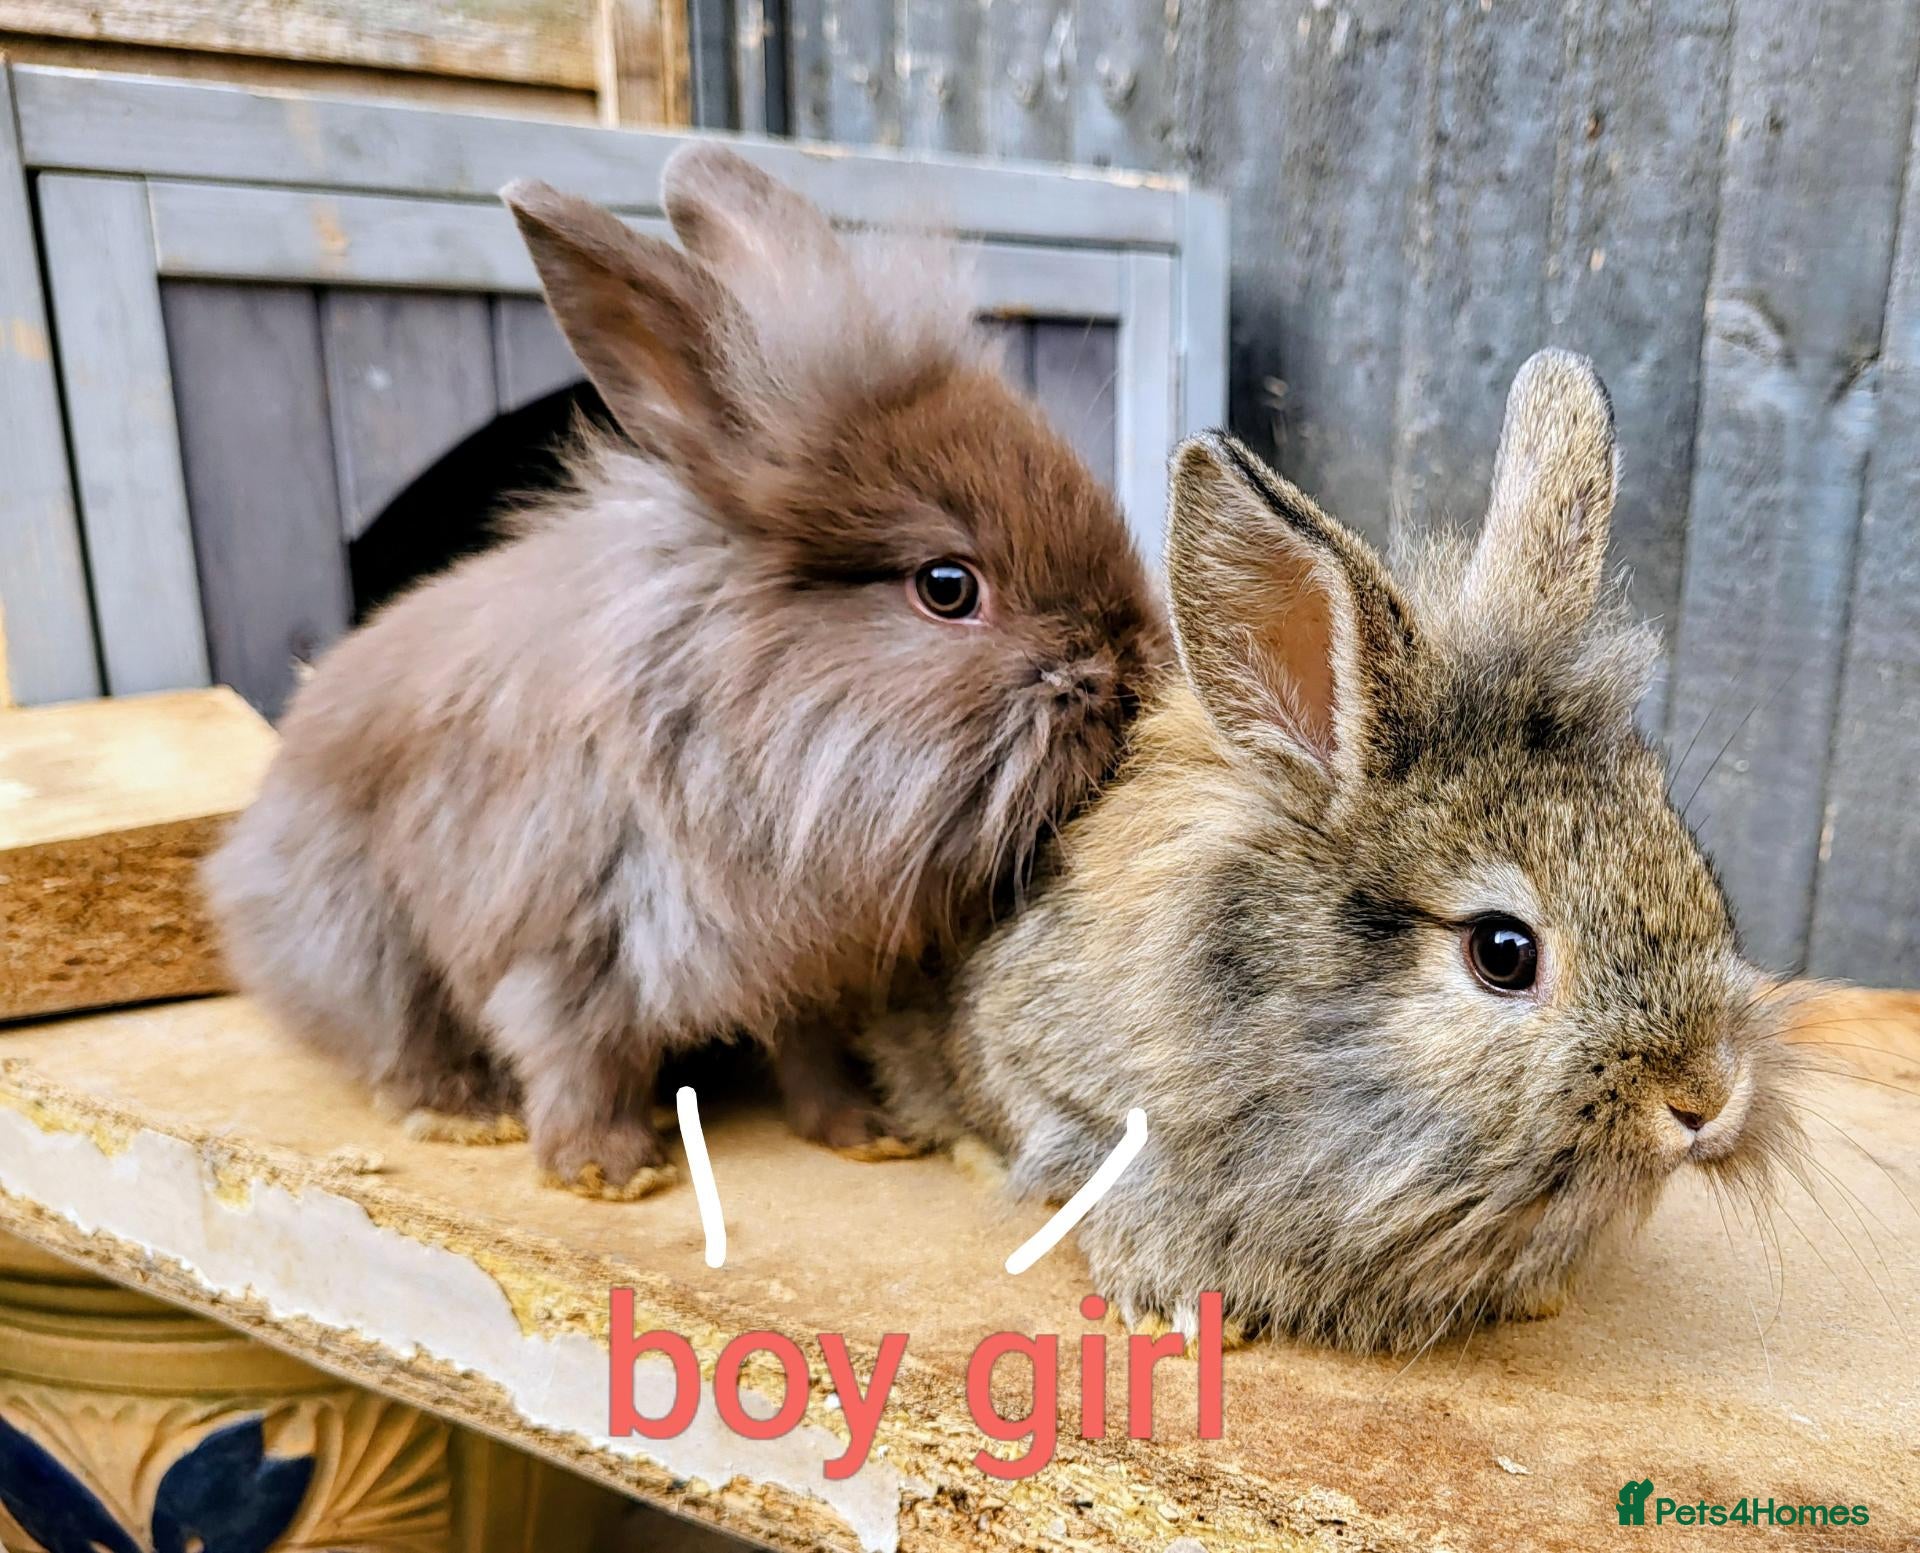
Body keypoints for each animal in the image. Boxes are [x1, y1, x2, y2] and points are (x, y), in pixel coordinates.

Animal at [204, 145, 1165, 1200]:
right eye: (948, 587)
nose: (1132, 672)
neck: (740, 713)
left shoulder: (806, 967)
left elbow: (809, 1051)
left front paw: (866, 1132)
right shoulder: (570, 941)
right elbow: (579, 1056)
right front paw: (607, 1170)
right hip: (362, 940)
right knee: (400, 1037)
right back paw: (464, 1111)